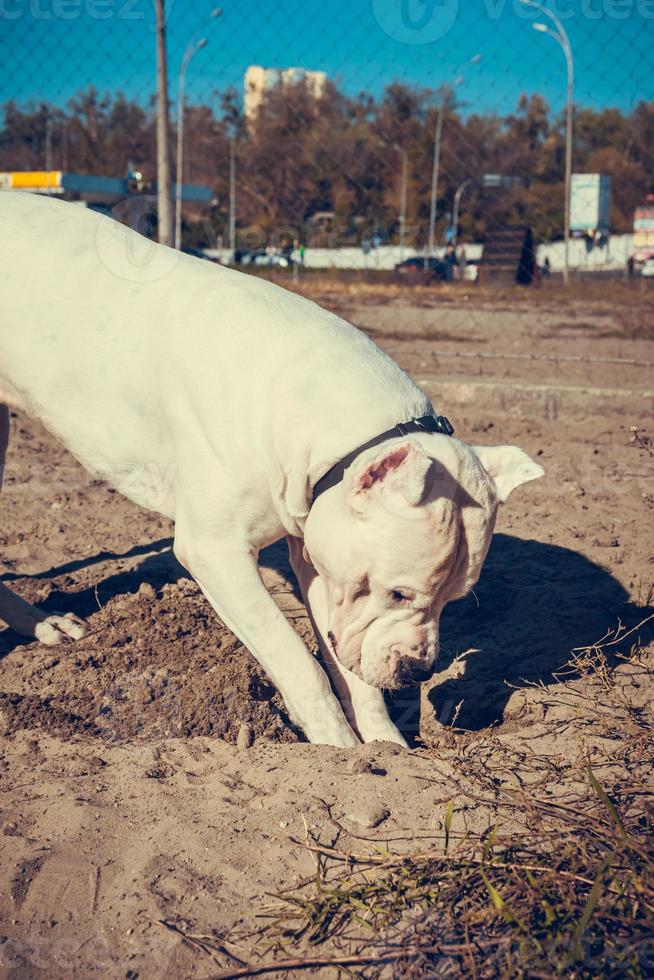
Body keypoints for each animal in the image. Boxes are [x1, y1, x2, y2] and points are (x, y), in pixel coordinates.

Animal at [0, 191, 544, 748]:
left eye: (454, 598)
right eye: (398, 591)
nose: (419, 671)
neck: (323, 417)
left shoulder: (322, 558)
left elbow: (353, 673)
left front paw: (382, 750)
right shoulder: (217, 552)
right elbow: (299, 662)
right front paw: (337, 746)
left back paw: (41, 625)